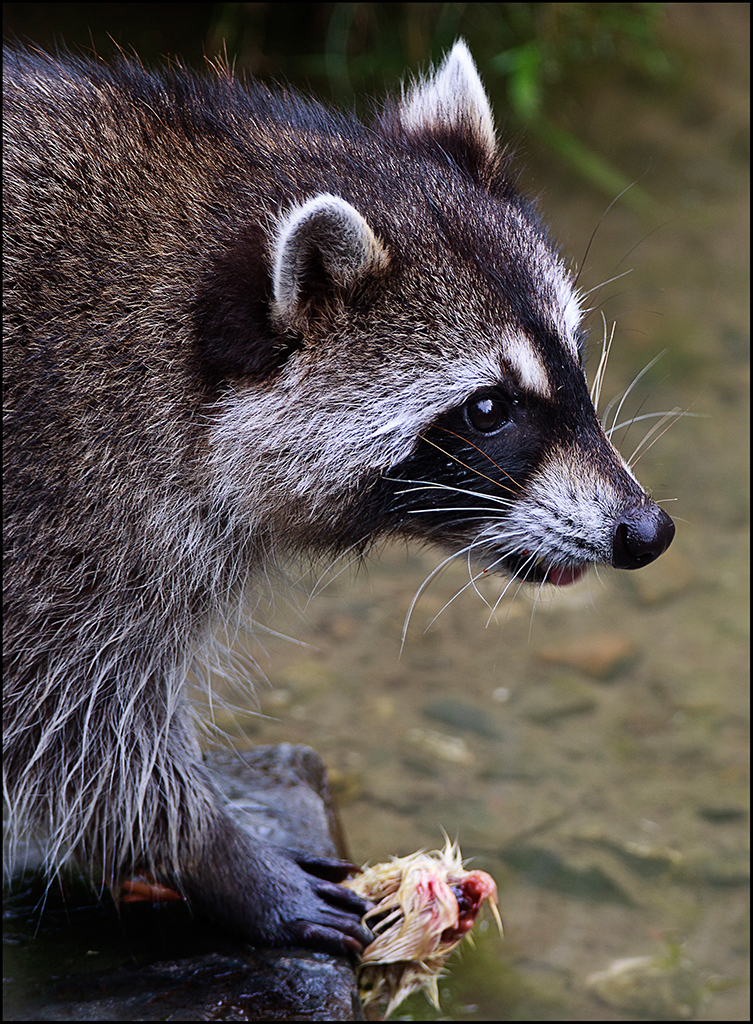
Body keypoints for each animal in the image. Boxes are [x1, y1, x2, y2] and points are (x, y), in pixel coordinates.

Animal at [4, 39, 676, 950]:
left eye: (572, 358)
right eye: (488, 409)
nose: (647, 532)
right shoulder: (64, 502)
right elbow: (68, 732)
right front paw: (216, 856)